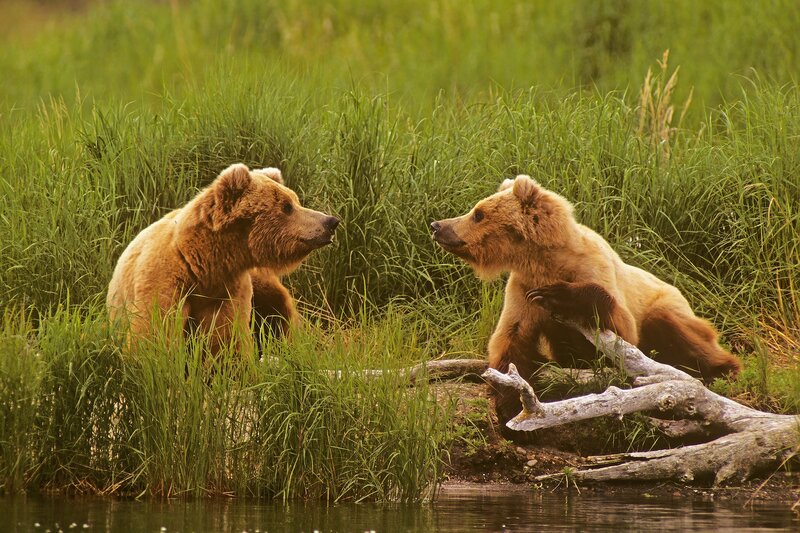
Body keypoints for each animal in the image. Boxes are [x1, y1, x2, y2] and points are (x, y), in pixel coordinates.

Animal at [107, 163, 339, 352]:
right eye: (287, 206)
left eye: (296, 200)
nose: (330, 222)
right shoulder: (165, 282)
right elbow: (154, 332)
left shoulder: (227, 292)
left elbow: (226, 340)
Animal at [431, 174, 741, 430]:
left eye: (478, 213)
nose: (437, 225)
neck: (544, 261)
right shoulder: (521, 289)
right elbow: (511, 339)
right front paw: (508, 405)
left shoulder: (593, 267)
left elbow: (621, 328)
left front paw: (557, 295)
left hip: (666, 303)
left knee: (676, 328)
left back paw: (723, 369)